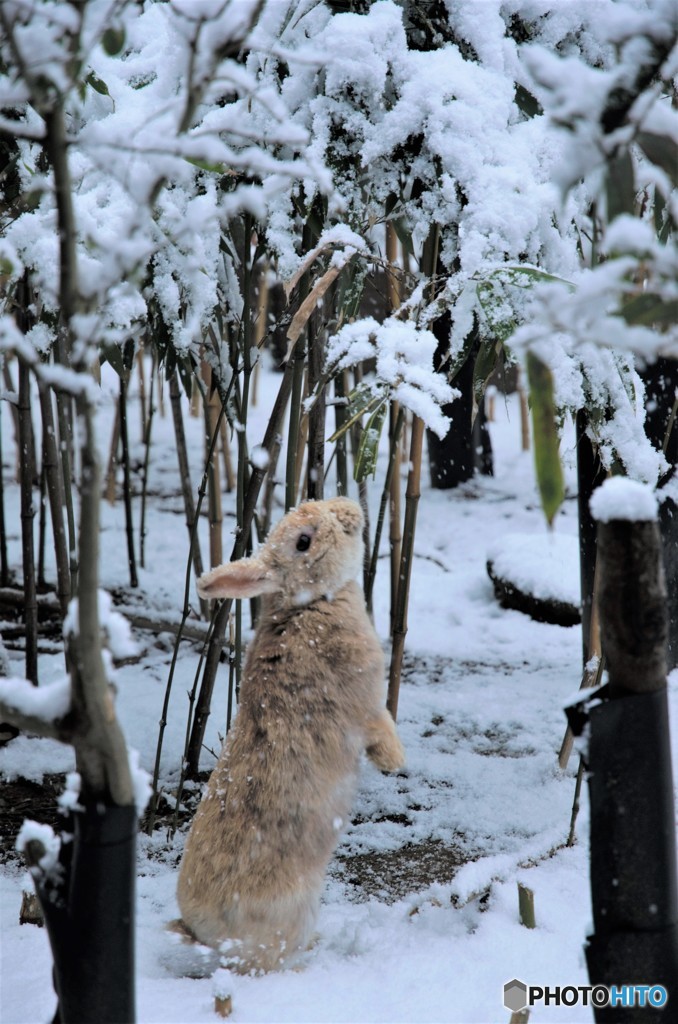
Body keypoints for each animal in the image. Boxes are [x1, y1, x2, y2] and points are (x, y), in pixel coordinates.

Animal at [178, 495, 405, 974]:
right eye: (303, 541)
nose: (350, 508)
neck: (308, 604)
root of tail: (202, 934)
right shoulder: (368, 707)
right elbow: (381, 731)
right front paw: (397, 763)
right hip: (290, 916)